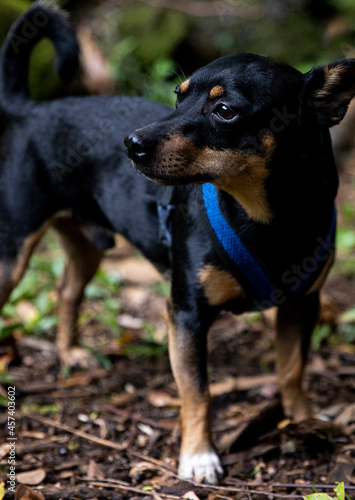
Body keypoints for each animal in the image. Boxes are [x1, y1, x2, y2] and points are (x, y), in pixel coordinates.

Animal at [0, 0, 355, 484]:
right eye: (177, 95)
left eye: (224, 110)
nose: (130, 143)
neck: (267, 218)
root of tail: (29, 110)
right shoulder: (186, 315)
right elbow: (198, 392)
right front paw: (199, 456)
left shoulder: (302, 304)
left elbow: (291, 370)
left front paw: (303, 420)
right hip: (12, 254)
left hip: (86, 247)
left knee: (67, 290)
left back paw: (71, 352)